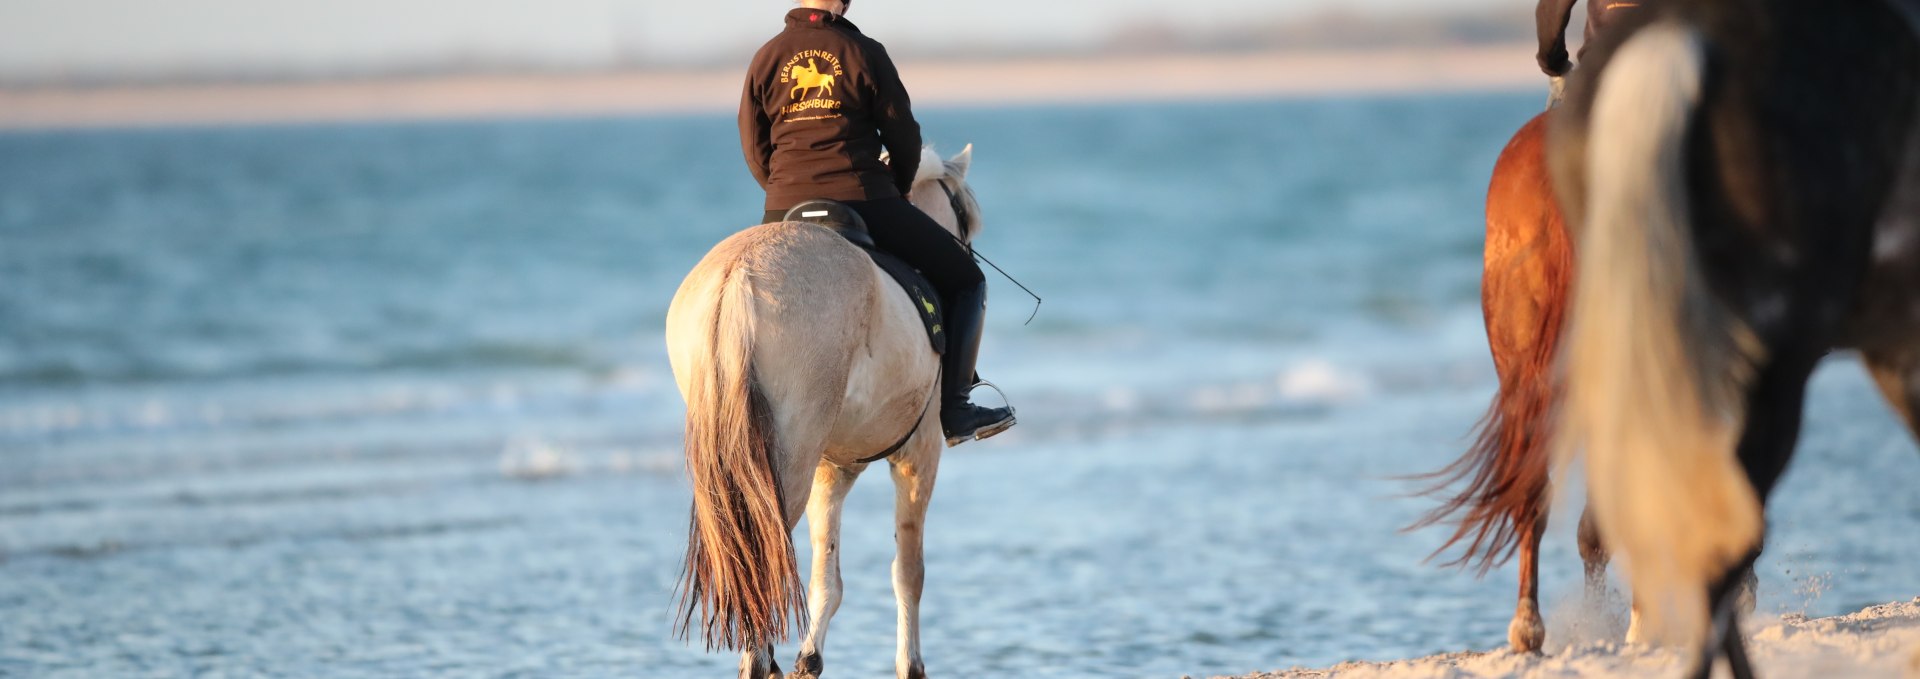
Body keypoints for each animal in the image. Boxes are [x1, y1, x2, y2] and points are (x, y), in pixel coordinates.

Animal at [668, 144, 983, 679]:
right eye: (963, 219)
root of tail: (738, 278)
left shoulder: (831, 470)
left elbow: (826, 580)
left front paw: (808, 658)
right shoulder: (917, 456)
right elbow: (908, 573)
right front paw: (909, 664)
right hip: (787, 462)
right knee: (763, 559)